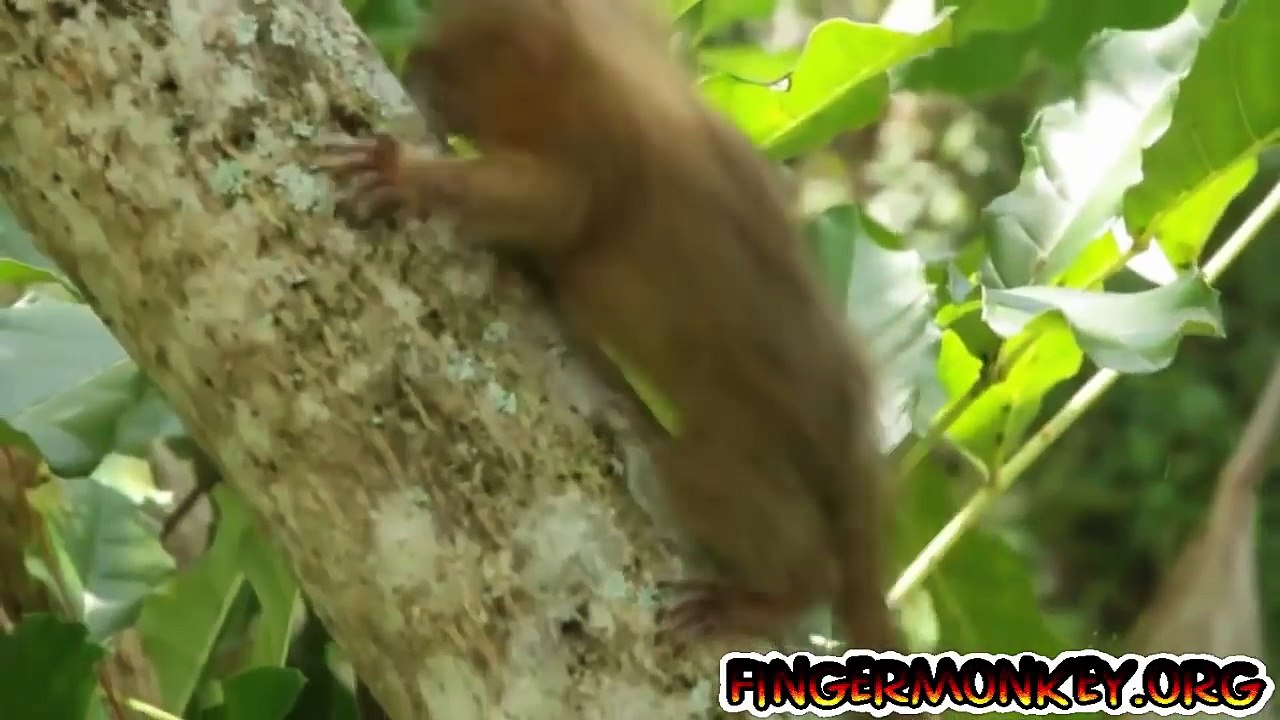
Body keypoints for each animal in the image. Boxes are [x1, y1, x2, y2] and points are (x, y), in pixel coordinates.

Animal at [318, 0, 899, 652]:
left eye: (445, 75)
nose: (417, 66)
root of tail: (851, 430)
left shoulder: (591, 144)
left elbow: (555, 209)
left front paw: (408, 175)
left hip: (762, 429)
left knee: (702, 471)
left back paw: (785, 593)